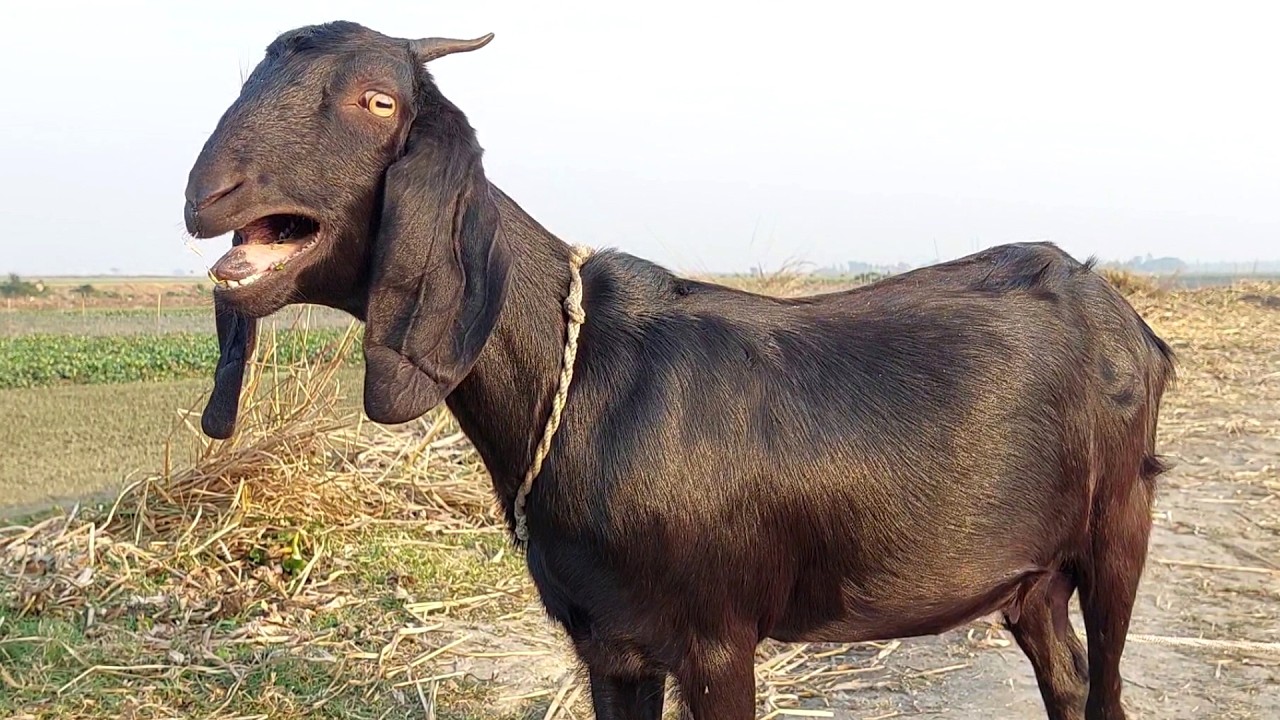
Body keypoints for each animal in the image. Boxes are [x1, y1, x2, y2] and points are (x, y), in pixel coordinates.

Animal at [182, 21, 1175, 720]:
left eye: (379, 102)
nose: (208, 196)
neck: (578, 382)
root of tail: (1123, 314)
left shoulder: (715, 639)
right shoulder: (609, 642)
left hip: (1119, 525)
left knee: (1108, 685)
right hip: (1029, 574)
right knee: (1068, 680)